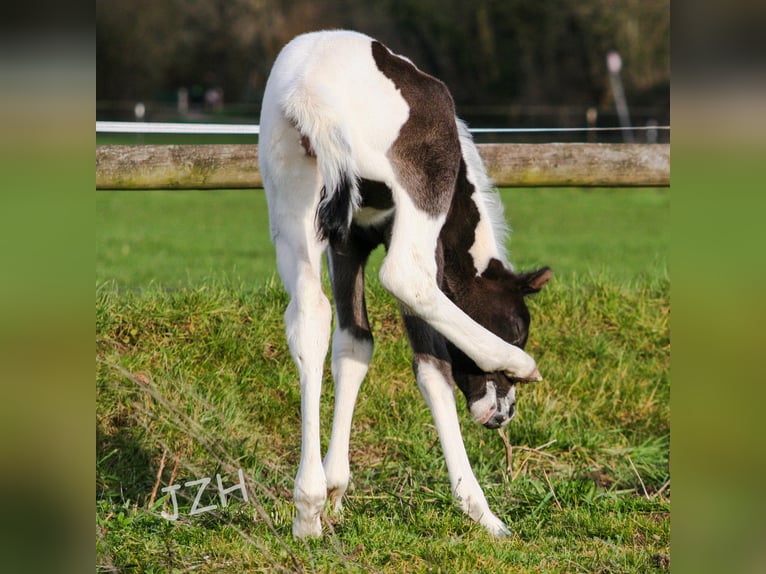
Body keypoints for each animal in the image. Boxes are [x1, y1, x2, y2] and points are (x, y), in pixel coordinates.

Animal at [258, 30, 552, 538]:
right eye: (518, 328)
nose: (503, 414)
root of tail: (309, 90)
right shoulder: (416, 235)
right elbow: (432, 366)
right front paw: (481, 511)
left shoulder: (347, 241)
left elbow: (354, 345)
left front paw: (334, 493)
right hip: (419, 189)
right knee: (402, 276)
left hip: (294, 200)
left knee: (309, 315)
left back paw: (307, 509)